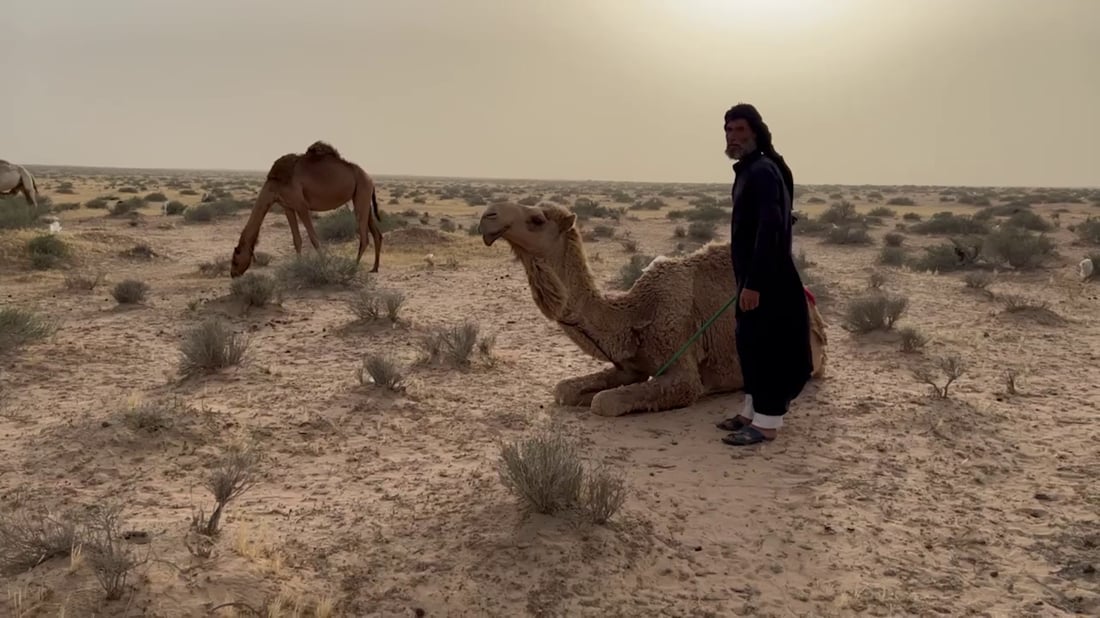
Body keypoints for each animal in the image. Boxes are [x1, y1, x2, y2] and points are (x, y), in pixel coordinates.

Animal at [229, 141, 385, 277]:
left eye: (235, 260)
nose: (233, 274)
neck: (275, 184)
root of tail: (370, 179)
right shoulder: (288, 207)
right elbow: (296, 240)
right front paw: (298, 267)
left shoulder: (301, 205)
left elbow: (314, 238)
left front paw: (324, 265)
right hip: (363, 198)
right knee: (376, 234)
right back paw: (375, 268)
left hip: (362, 193)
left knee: (364, 237)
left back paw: (354, 267)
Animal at [475, 200, 827, 415]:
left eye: (536, 220)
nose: (487, 216)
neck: (634, 315)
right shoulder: (629, 365)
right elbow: (564, 389)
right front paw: (582, 393)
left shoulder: (683, 369)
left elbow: (605, 403)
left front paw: (595, 398)